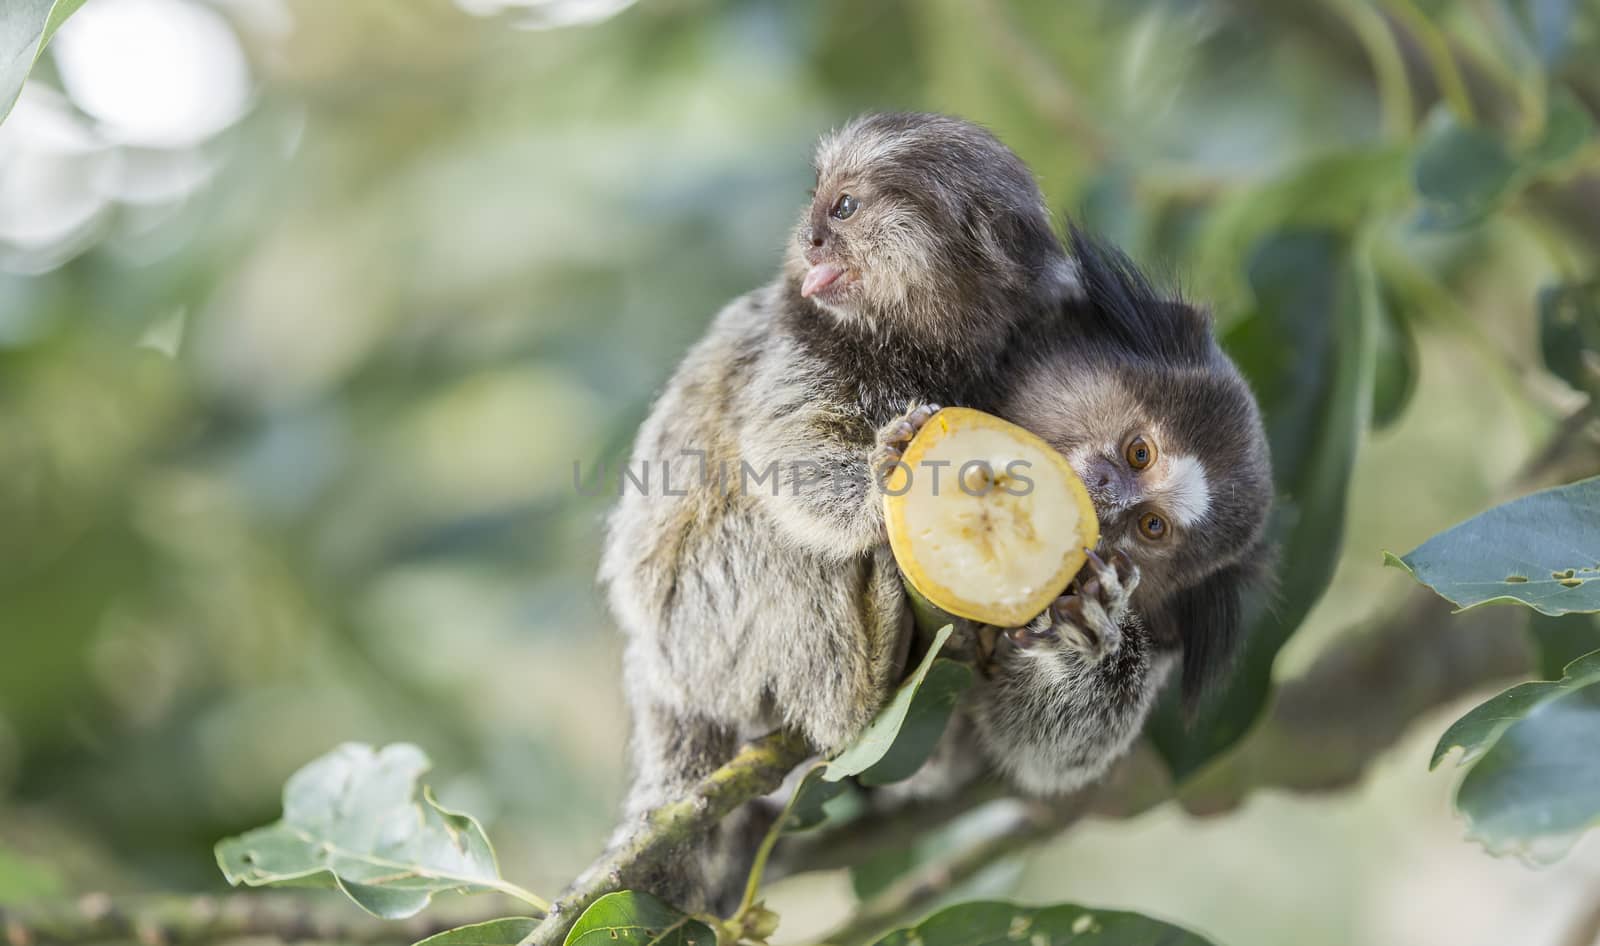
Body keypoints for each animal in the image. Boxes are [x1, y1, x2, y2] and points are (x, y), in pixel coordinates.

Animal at [601, 111, 1075, 909]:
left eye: (844, 208)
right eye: (818, 204)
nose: (810, 237)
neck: (911, 340)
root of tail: (655, 672)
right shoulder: (798, 348)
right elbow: (784, 453)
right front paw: (888, 474)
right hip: (702, 630)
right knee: (772, 540)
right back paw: (853, 690)